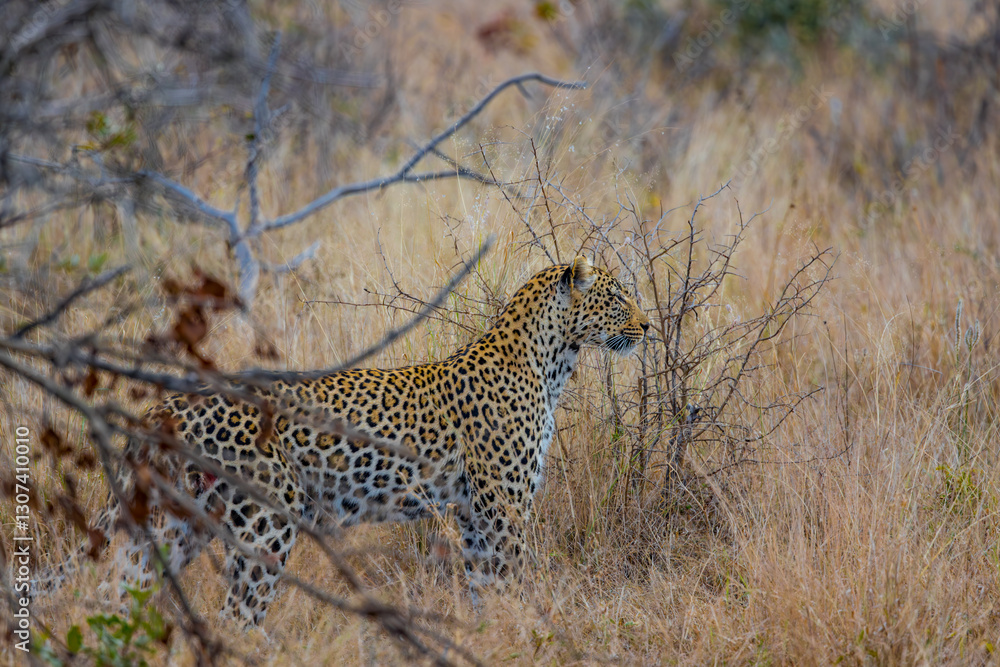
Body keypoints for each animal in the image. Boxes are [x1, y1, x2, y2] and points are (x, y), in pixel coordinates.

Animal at [58, 256, 649, 627]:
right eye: (619, 297)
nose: (647, 328)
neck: (553, 361)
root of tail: (167, 405)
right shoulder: (503, 506)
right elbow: (512, 583)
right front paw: (523, 629)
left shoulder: (473, 513)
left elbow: (484, 589)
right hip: (267, 520)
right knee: (235, 615)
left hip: (177, 522)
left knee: (113, 597)